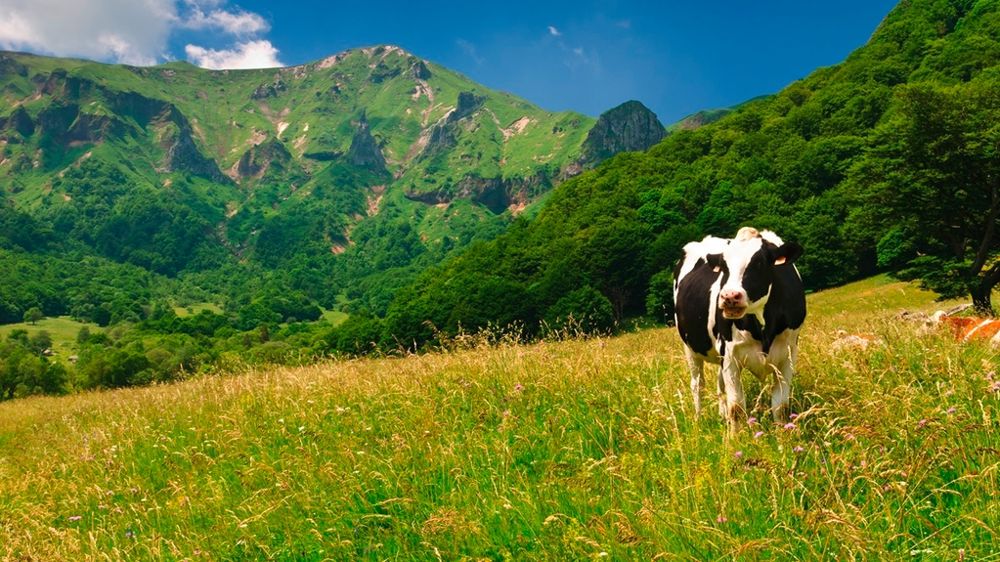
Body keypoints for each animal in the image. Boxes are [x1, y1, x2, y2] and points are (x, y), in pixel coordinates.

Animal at [673, 227, 806, 429]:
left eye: (759, 262)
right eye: (724, 266)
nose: (729, 296)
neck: (763, 327)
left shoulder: (789, 354)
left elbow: (781, 406)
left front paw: (784, 435)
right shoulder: (730, 356)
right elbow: (736, 408)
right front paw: (737, 437)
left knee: (719, 384)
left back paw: (721, 416)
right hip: (689, 347)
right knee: (697, 385)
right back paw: (699, 419)